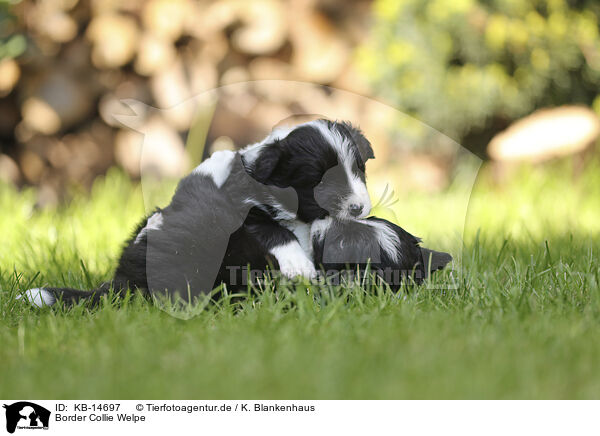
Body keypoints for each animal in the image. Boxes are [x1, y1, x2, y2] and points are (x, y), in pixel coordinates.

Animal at [19, 119, 376, 306]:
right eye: (318, 181)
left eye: (359, 170)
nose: (358, 208)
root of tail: (122, 282)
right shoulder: (239, 212)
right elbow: (275, 232)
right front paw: (298, 266)